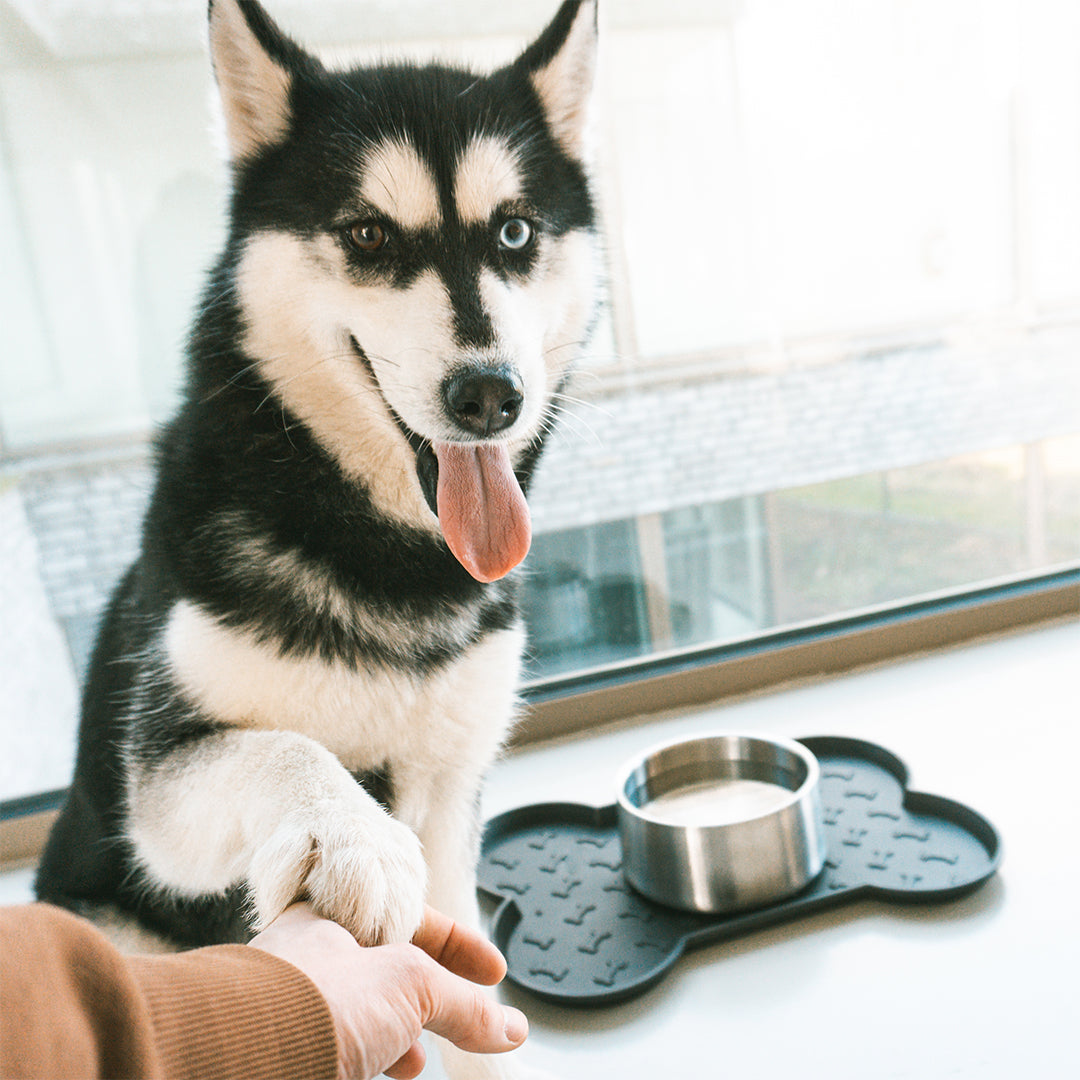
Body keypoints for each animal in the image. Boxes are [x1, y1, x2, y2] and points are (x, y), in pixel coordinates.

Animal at [38, 0, 600, 1067]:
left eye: (514, 230)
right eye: (369, 233)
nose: (490, 396)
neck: (392, 562)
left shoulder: (451, 797)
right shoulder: (158, 787)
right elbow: (289, 748)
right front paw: (353, 835)